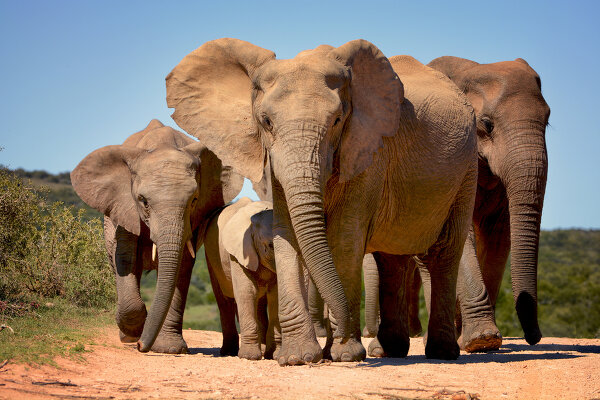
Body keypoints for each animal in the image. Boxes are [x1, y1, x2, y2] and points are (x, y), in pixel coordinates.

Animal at [72, 119, 244, 354]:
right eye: (142, 200)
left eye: (194, 199)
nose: (140, 345)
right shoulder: (124, 207)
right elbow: (124, 257)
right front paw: (134, 333)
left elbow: (182, 264)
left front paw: (168, 348)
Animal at [199, 196, 278, 360]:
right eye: (270, 245)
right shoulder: (237, 254)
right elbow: (246, 292)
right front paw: (249, 357)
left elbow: (275, 294)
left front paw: (272, 355)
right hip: (212, 257)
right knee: (225, 300)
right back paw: (229, 352)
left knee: (259, 301)